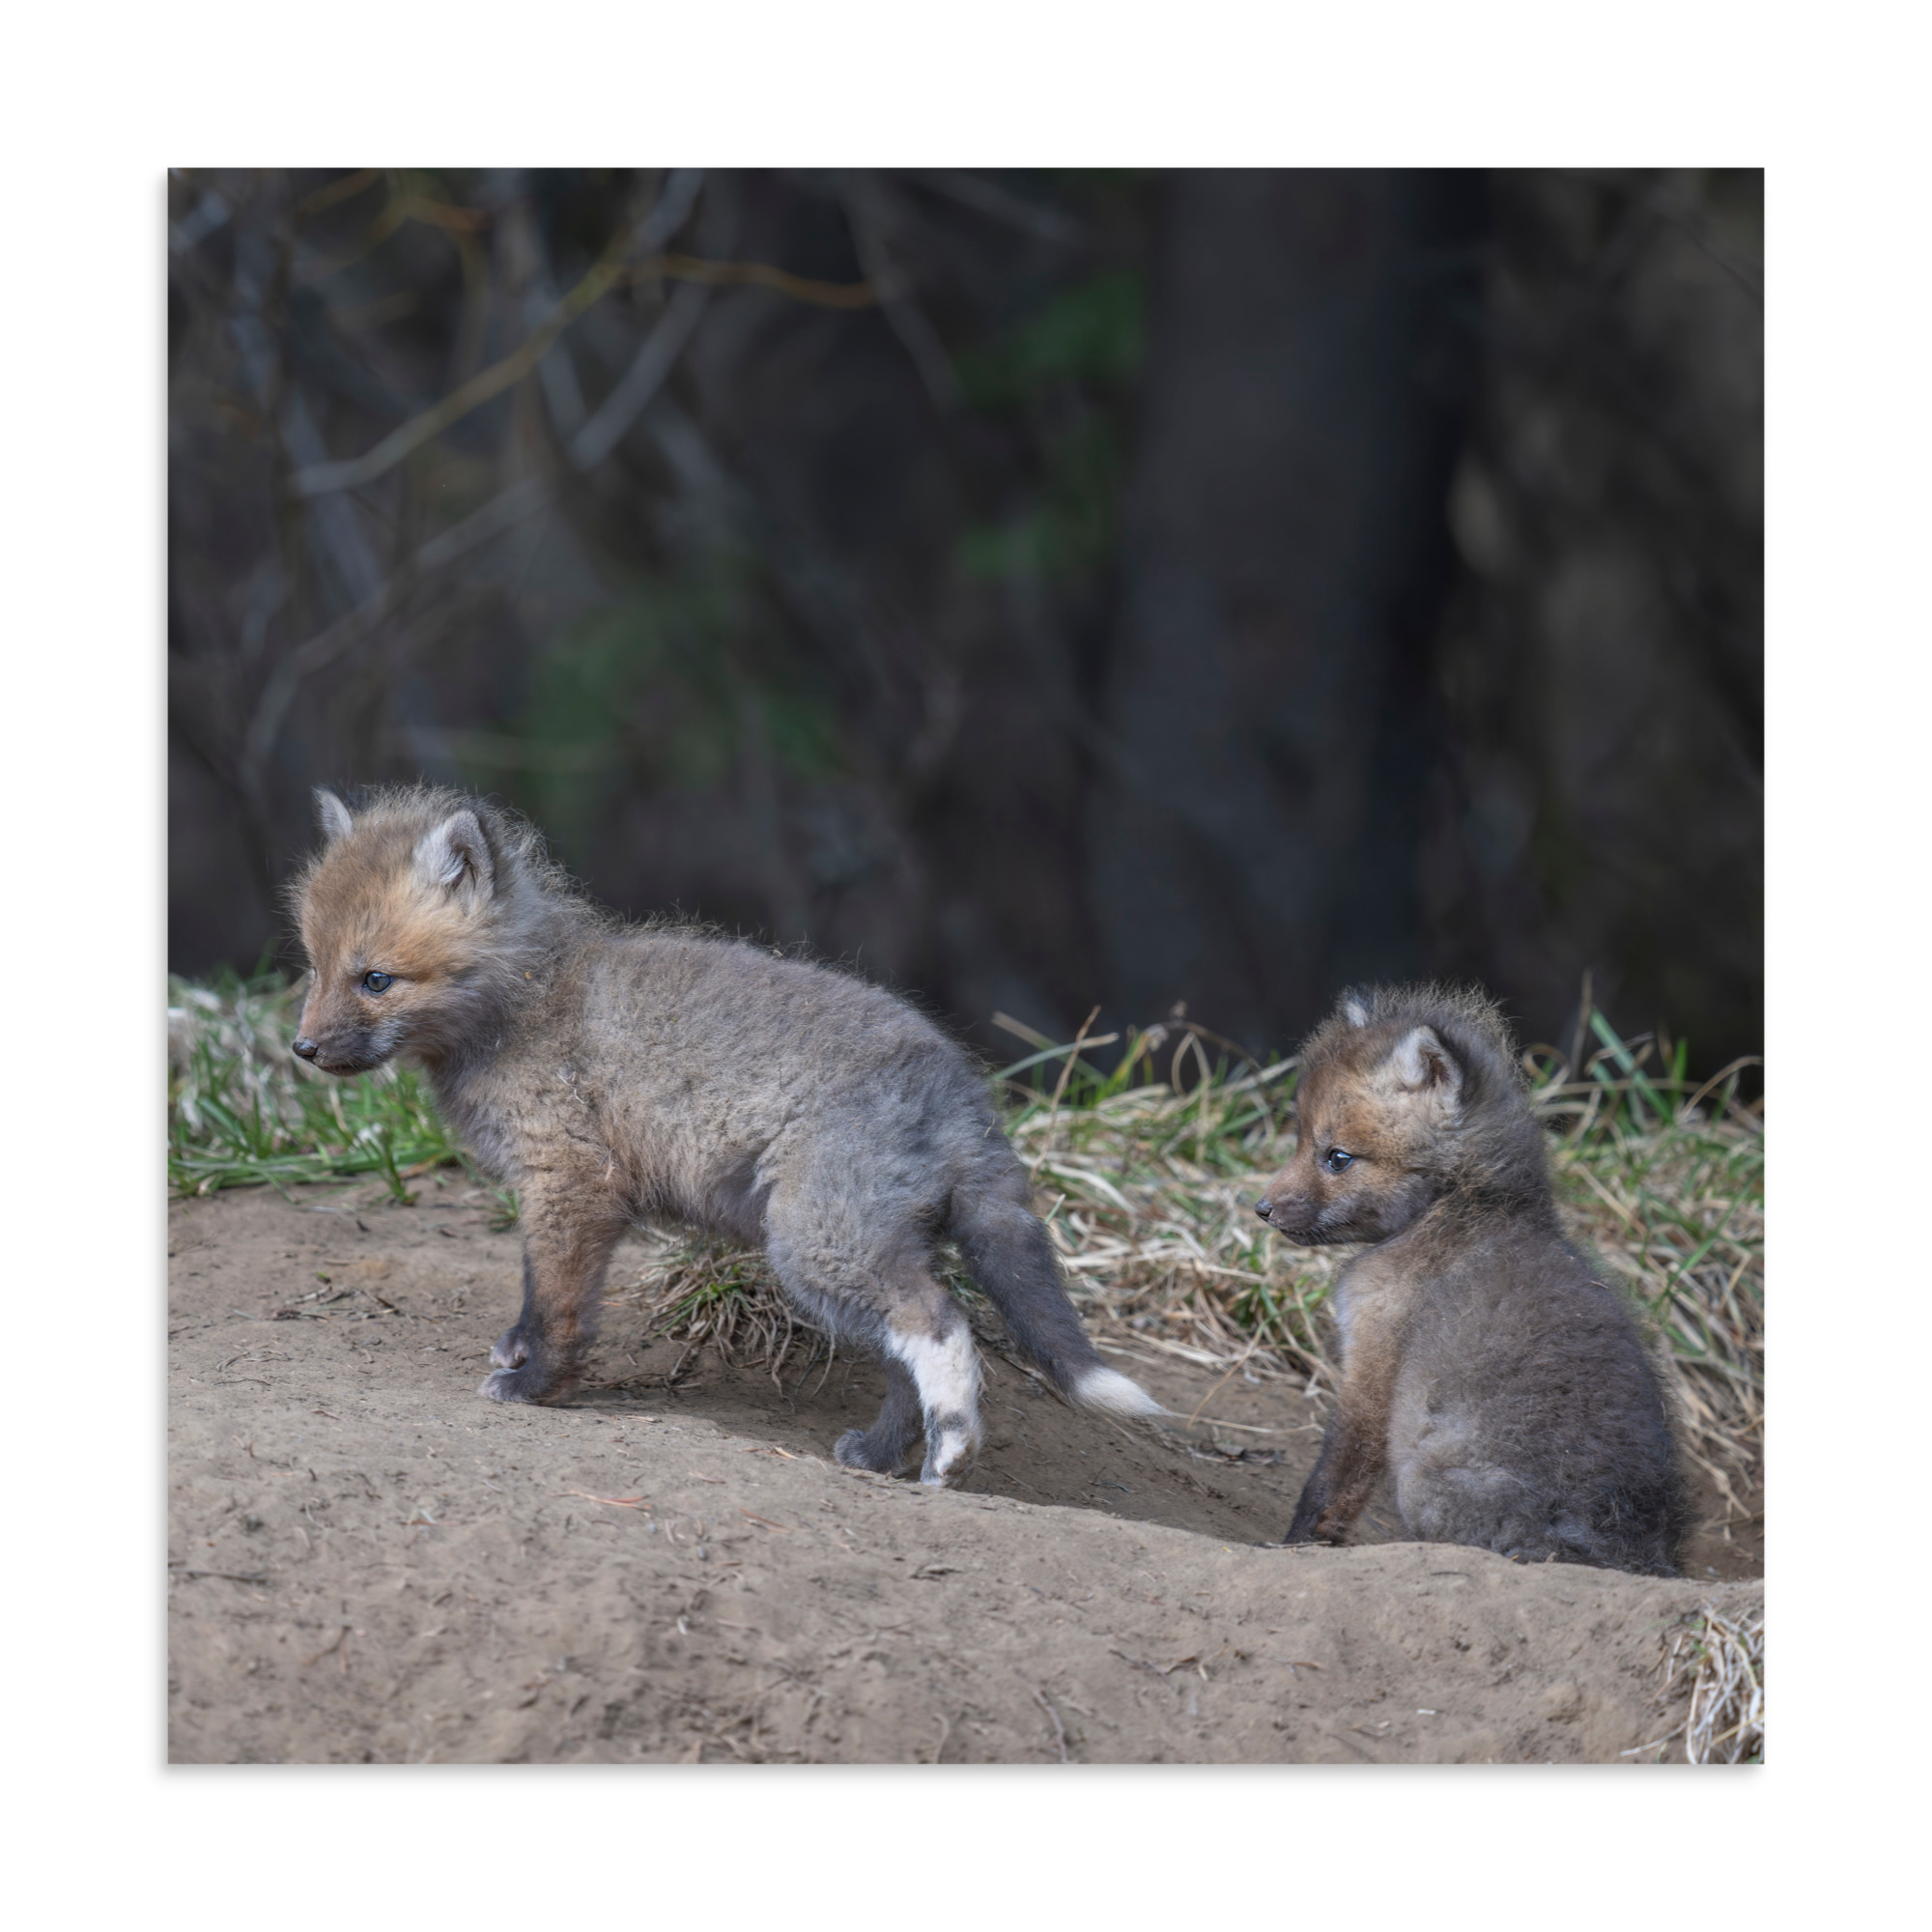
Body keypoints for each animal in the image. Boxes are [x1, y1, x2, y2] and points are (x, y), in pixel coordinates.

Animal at [287, 783, 1159, 1486]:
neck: (525, 1004)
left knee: (941, 1325)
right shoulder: (559, 1193)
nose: (302, 1050)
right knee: (905, 1359)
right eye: (314, 967)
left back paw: (952, 1454)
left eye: (376, 979)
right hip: (858, 1251)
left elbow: (559, 1303)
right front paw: (520, 1353)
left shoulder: (572, 1183)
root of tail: (962, 1088)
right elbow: (537, 1293)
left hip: (816, 1246)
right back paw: (882, 1456)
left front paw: (537, 1387)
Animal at [1254, 984, 1684, 1575]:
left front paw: (1295, 1547)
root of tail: (1628, 1554)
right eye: (1299, 1140)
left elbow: (1332, 1481)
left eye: (1337, 1158)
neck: (1460, 1206)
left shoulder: (1373, 1362)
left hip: (1422, 1481)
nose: (1261, 1209)